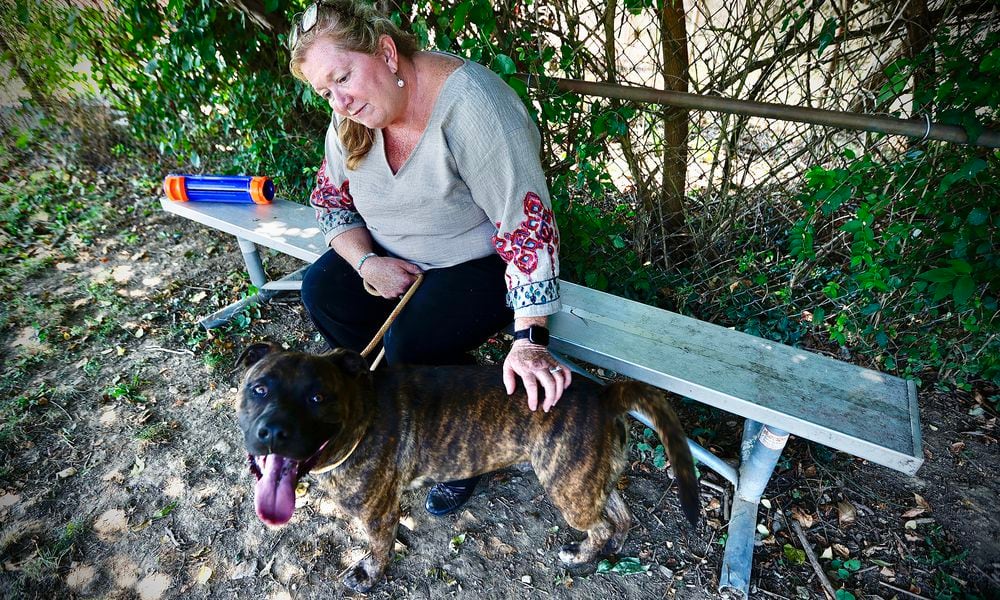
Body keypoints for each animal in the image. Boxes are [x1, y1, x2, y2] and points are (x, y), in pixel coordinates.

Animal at [237, 342, 700, 592]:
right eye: (259, 389)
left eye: (318, 397)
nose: (273, 433)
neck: (360, 414)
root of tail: (605, 395)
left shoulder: (377, 513)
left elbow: (379, 547)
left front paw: (369, 574)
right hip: (588, 478)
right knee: (621, 513)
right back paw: (614, 547)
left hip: (567, 486)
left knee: (600, 524)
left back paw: (582, 554)